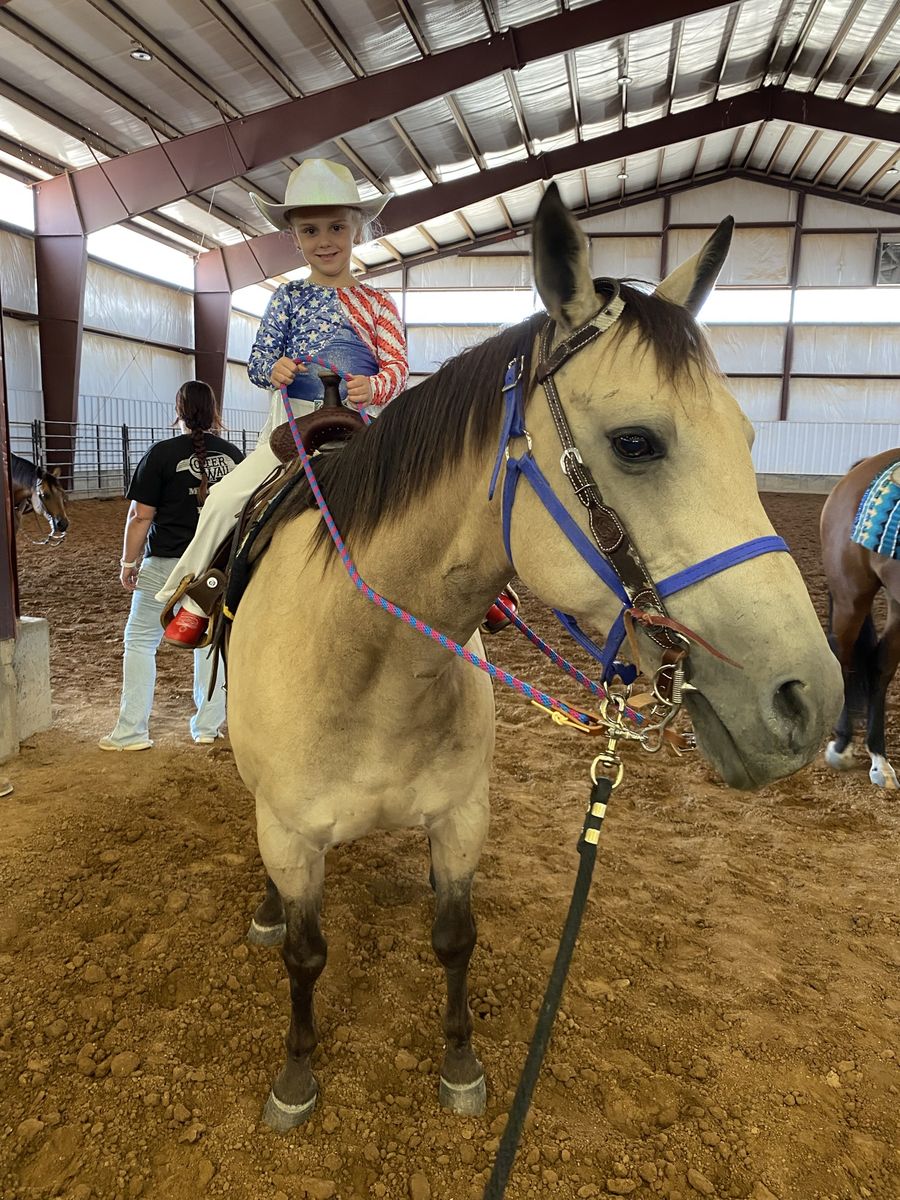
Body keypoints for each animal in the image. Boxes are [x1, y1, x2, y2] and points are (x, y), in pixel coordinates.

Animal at [225, 185, 843, 1133]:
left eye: (747, 437)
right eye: (636, 442)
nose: (805, 700)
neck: (365, 667)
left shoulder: (460, 819)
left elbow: (454, 939)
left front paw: (460, 1064)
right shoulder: (292, 835)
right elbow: (304, 955)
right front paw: (296, 1077)